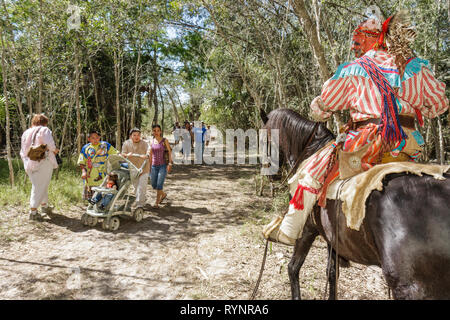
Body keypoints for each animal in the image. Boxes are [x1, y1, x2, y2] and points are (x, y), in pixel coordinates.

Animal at [260, 108, 450, 300]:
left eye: (263, 138)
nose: (270, 174)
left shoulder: (307, 229)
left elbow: (293, 268)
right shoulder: (332, 239)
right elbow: (332, 273)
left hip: (409, 286)